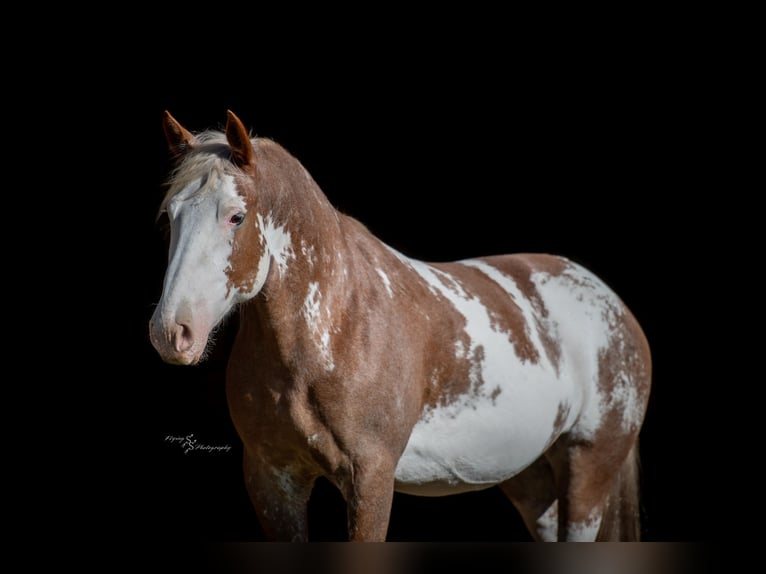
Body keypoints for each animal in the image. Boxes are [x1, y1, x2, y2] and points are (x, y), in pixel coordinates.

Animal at [149, 110, 652, 542]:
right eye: (169, 216)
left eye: (236, 216)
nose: (172, 332)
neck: (334, 327)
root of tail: (612, 305)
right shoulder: (271, 479)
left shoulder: (371, 479)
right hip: (531, 479)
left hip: (587, 470)